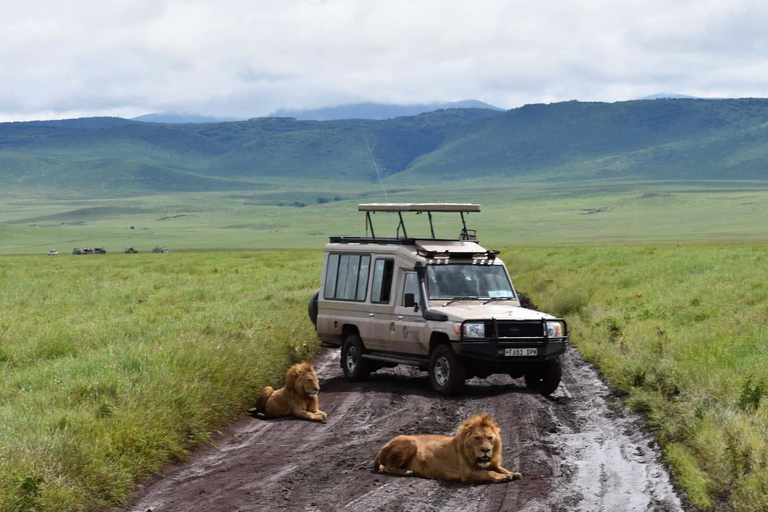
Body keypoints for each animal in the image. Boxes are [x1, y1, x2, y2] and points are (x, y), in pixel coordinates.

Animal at [374, 412, 520, 484]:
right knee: (386, 467)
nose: (485, 450)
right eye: (477, 438)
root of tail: (381, 448)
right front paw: (503, 477)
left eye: (490, 438)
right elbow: (488, 472)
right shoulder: (467, 474)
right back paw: (406, 472)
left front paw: (513, 473)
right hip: (410, 441)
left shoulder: (492, 463)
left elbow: (500, 468)